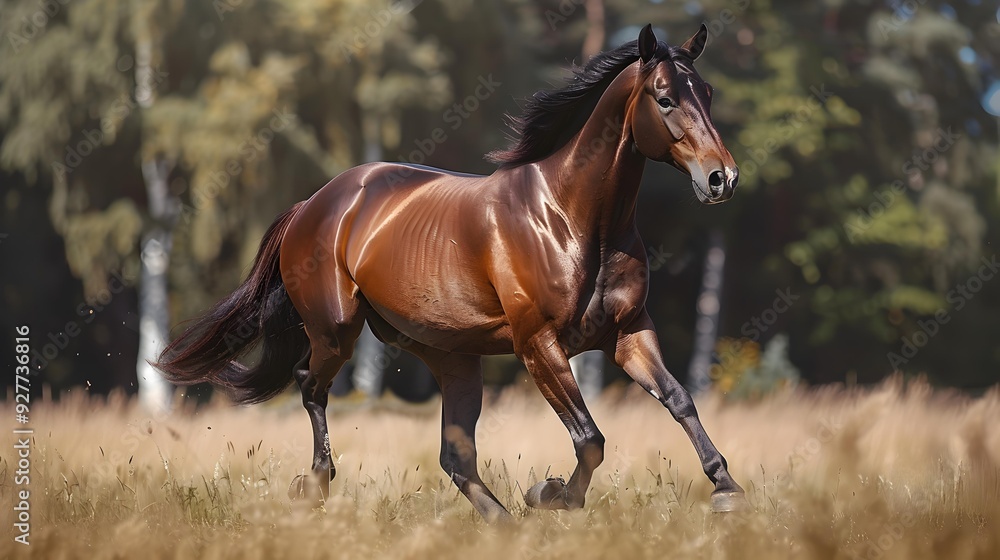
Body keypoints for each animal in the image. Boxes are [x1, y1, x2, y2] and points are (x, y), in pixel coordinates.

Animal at [155, 24, 744, 523]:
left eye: (709, 92)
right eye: (664, 98)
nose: (722, 179)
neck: (572, 218)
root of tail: (315, 203)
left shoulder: (628, 333)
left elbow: (679, 400)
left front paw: (727, 489)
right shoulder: (538, 344)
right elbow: (589, 438)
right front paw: (552, 494)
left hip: (452, 357)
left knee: (454, 456)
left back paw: (500, 522)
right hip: (337, 330)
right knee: (310, 386)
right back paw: (316, 485)